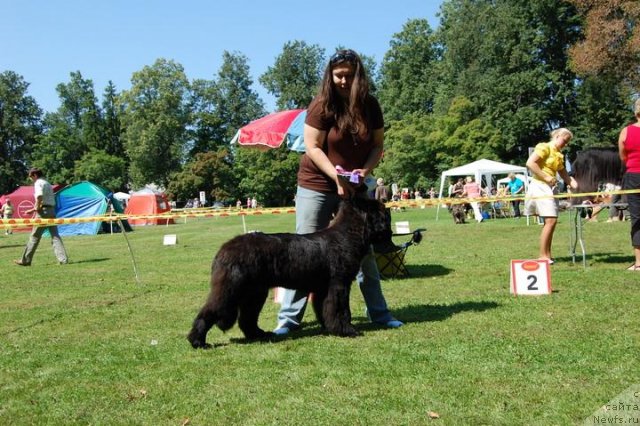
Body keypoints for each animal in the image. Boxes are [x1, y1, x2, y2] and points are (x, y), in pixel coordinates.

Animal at [188, 198, 392, 348]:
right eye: (382, 211)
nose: (388, 210)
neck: (348, 235)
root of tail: (224, 249)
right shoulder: (339, 285)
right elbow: (340, 309)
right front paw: (347, 330)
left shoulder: (323, 289)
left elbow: (325, 309)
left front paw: (330, 328)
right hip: (232, 289)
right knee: (211, 310)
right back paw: (198, 341)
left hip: (255, 293)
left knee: (247, 318)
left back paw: (260, 335)